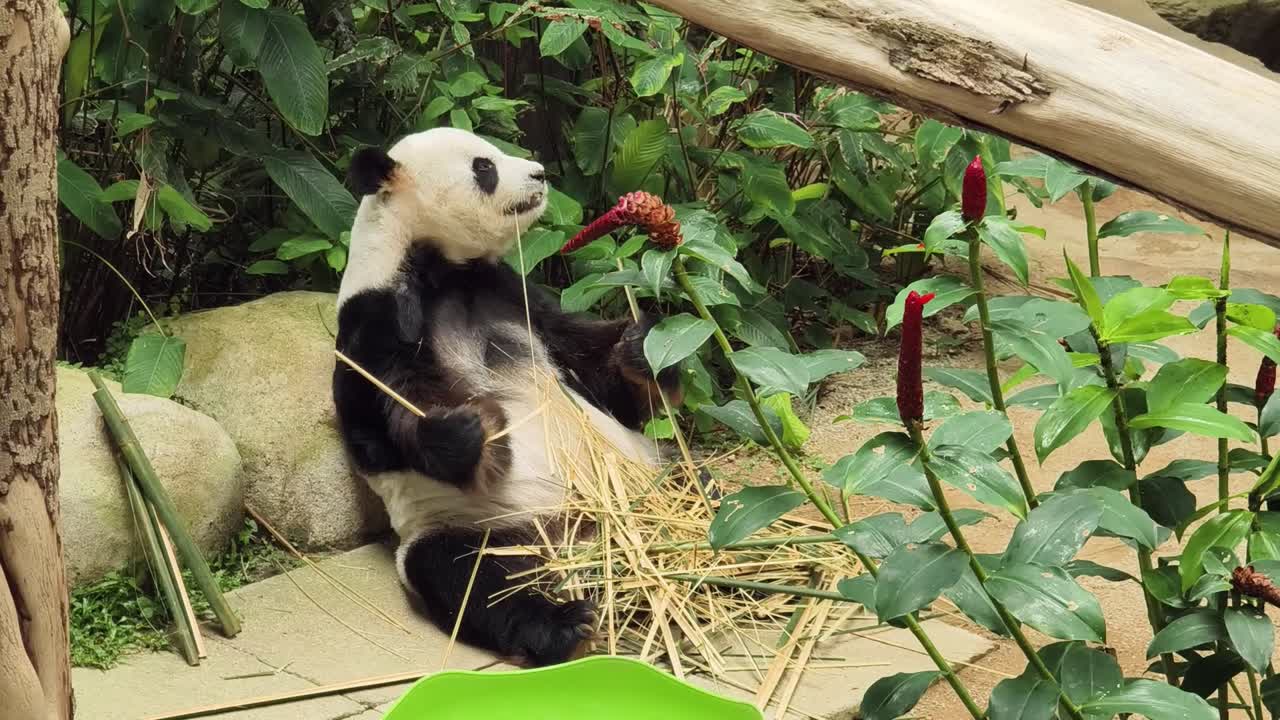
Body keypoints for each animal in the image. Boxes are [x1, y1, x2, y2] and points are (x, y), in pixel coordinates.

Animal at [331, 127, 682, 667]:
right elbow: (374, 432)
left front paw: (642, 347)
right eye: (484, 167)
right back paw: (566, 625)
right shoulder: (373, 320)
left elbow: (596, 374)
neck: (443, 268)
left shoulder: (518, 297)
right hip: (465, 523)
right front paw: (467, 430)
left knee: (696, 481)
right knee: (470, 578)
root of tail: (578, 537)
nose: (539, 173)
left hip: (646, 472)